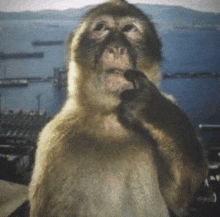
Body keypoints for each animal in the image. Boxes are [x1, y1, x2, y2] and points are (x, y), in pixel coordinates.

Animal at [28, 0, 207, 216]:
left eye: (129, 28)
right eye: (101, 28)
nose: (116, 48)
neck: (111, 117)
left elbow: (179, 198)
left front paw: (153, 109)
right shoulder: (55, 141)